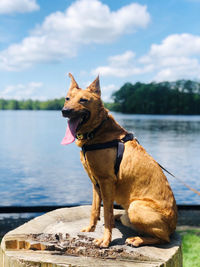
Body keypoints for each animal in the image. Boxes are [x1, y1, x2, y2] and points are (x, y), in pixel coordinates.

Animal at [61, 74, 177, 249]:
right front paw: (90, 228)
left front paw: (105, 240)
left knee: (163, 238)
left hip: (136, 206)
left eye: (83, 100)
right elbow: (95, 209)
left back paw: (137, 239)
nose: (65, 111)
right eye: (67, 98)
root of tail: (174, 227)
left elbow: (106, 212)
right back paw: (120, 219)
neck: (97, 131)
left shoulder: (106, 182)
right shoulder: (96, 183)